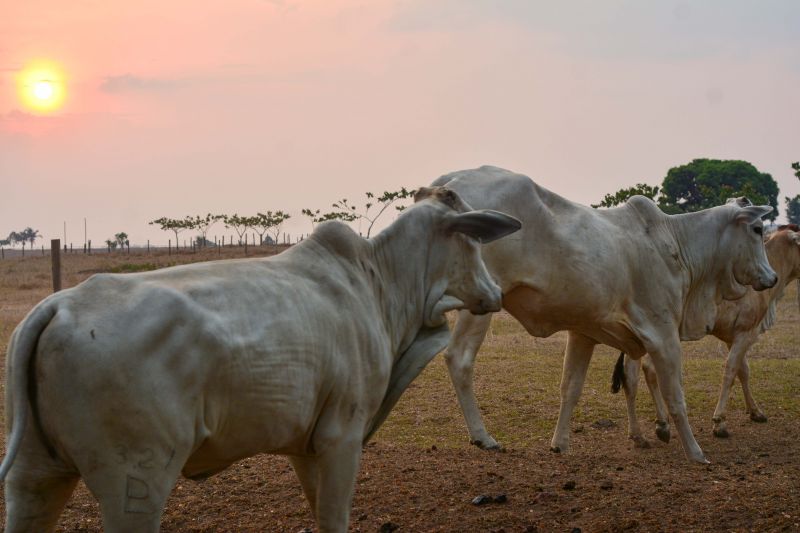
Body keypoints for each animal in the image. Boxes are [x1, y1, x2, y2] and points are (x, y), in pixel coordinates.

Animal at [0, 185, 520, 528]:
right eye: (475, 239)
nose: (495, 292)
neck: (380, 281)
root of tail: (59, 306)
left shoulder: (306, 444)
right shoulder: (343, 434)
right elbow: (335, 519)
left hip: (33, 476)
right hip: (134, 482)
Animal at [432, 165, 776, 462]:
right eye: (758, 229)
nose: (772, 277)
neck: (676, 242)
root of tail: (451, 180)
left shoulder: (583, 333)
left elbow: (570, 388)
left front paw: (560, 444)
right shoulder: (663, 334)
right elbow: (676, 396)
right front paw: (695, 452)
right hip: (480, 301)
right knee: (459, 359)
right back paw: (483, 437)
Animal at [612, 222, 800, 442]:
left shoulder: (732, 337)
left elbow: (743, 371)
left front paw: (755, 412)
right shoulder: (746, 334)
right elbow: (730, 371)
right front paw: (719, 422)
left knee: (630, 378)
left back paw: (638, 433)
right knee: (649, 370)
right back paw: (661, 424)